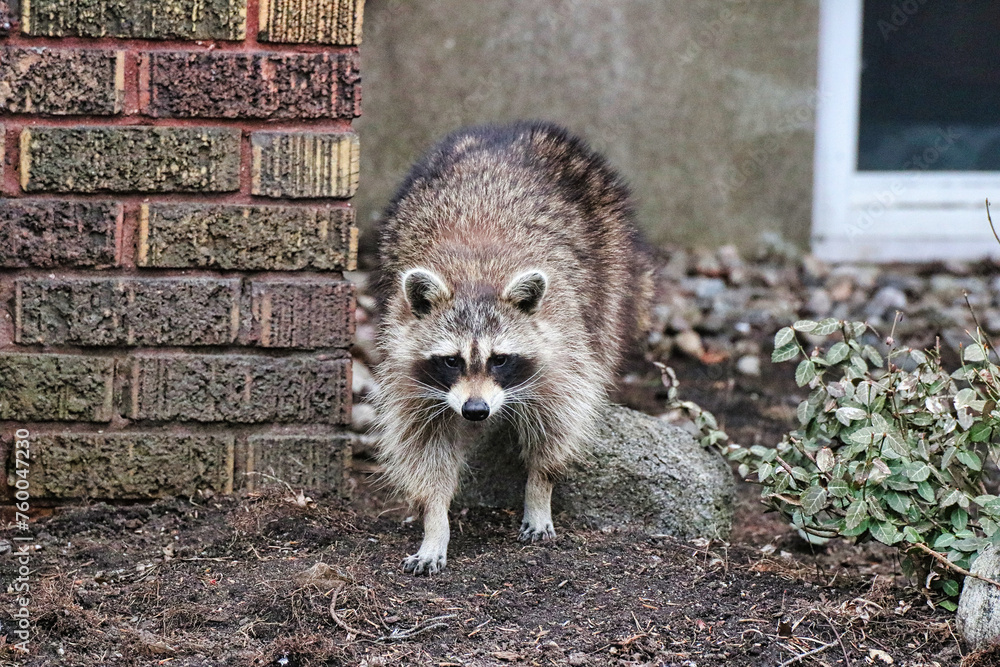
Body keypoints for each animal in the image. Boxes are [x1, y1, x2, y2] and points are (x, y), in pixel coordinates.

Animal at [374, 121, 651, 575]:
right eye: (451, 361)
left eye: (500, 359)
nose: (475, 410)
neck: (475, 274)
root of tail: (509, 129)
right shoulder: (403, 363)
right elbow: (424, 447)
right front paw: (435, 522)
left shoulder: (564, 347)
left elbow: (557, 427)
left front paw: (539, 489)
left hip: (611, 257)